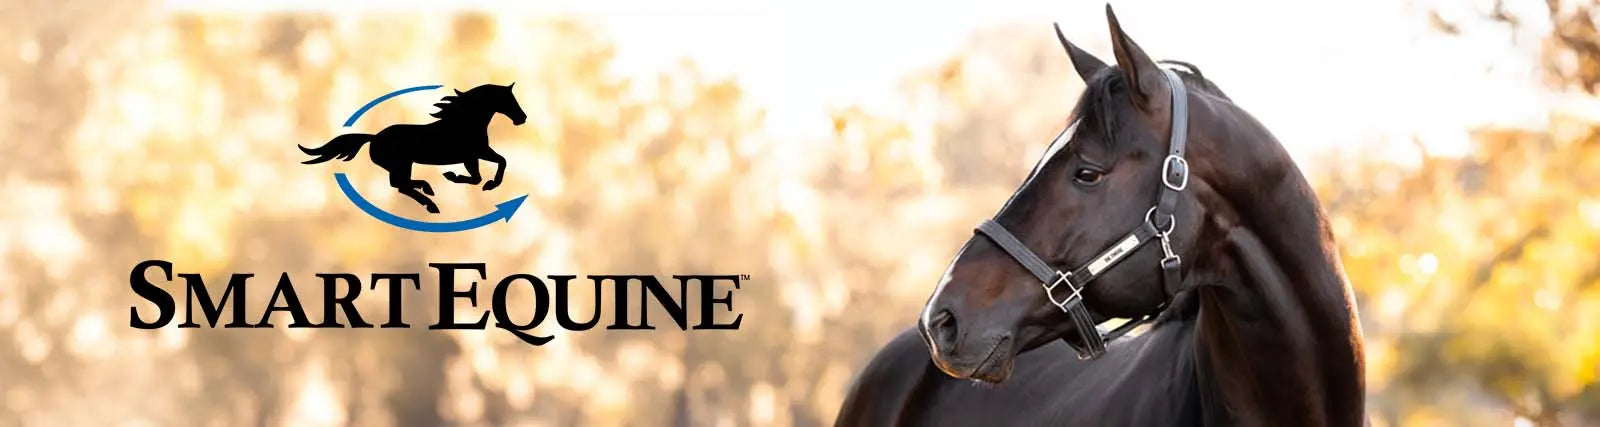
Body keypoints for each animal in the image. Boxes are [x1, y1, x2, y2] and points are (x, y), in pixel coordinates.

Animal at [299, 83, 527, 213]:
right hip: (402, 163)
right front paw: (489, 183)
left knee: (402, 184)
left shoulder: (471, 157)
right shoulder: (478, 152)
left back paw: (427, 190)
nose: (522, 118)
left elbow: (477, 177)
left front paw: (455, 176)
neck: (463, 122)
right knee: (401, 185)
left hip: (402, 165)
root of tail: (374, 138)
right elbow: (500, 162)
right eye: (508, 99)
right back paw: (431, 203)